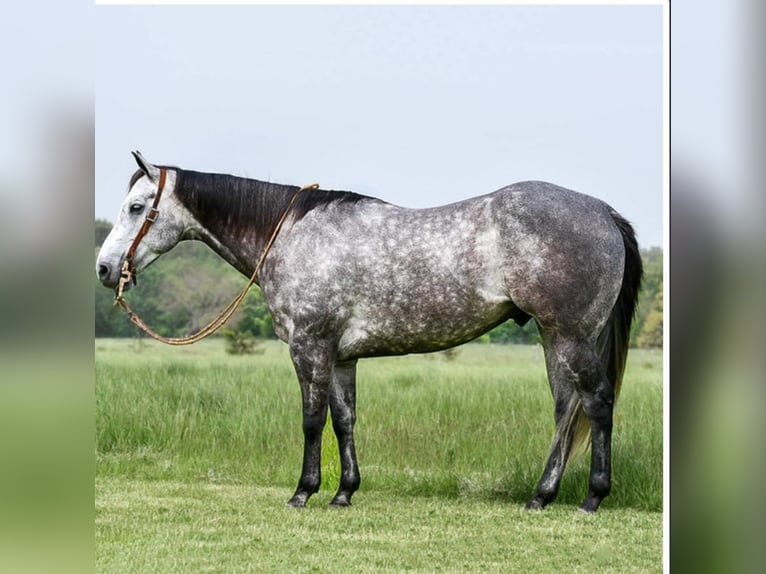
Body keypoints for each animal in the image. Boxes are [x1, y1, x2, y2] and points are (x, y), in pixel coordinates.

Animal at [99, 152, 644, 512]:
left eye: (136, 207)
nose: (105, 269)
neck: (293, 236)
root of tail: (602, 211)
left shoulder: (310, 349)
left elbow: (312, 421)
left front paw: (304, 491)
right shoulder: (342, 357)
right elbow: (344, 420)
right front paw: (344, 493)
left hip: (571, 336)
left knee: (596, 403)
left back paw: (592, 497)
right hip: (556, 340)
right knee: (565, 409)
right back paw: (540, 497)